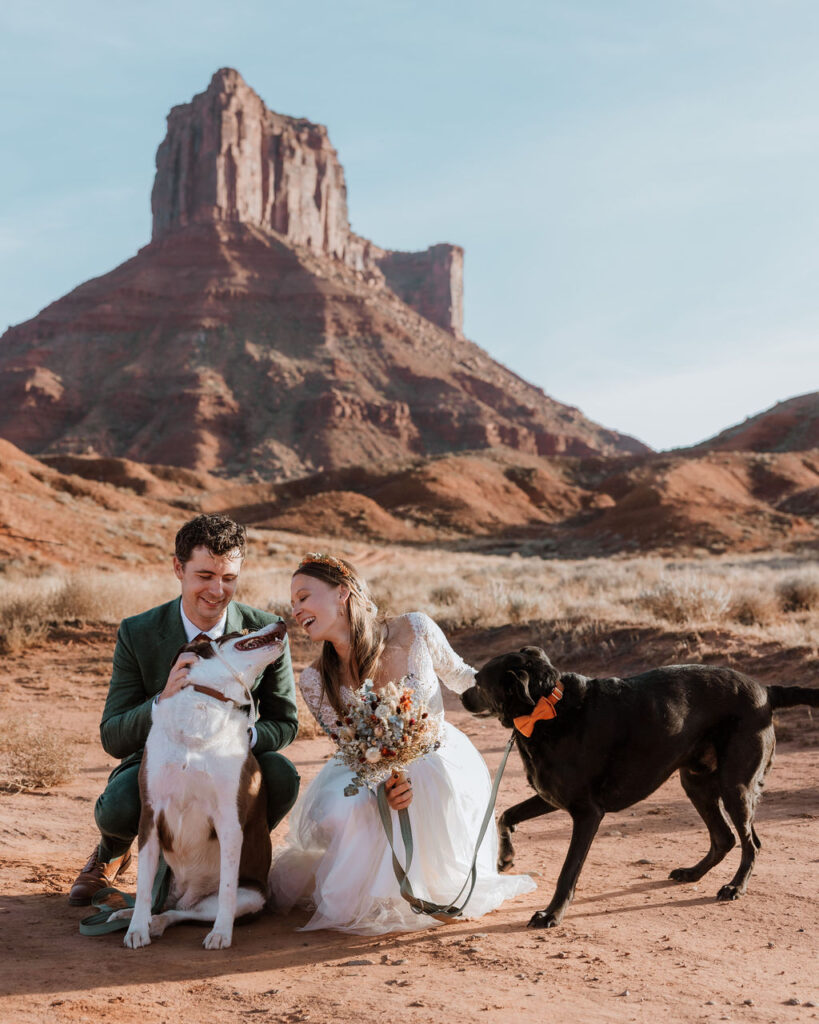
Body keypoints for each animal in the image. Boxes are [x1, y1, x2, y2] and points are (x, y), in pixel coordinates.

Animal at [112, 618, 284, 946]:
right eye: (243, 630)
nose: (282, 621)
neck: (206, 702)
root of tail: (185, 896)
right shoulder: (150, 814)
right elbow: (142, 887)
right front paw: (137, 929)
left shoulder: (229, 820)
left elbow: (227, 889)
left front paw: (221, 934)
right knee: (161, 904)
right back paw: (132, 917)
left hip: (248, 896)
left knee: (180, 913)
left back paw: (163, 922)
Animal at [464, 651, 814, 933]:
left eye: (479, 681)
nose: (464, 695)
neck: (547, 709)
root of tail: (765, 690)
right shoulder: (552, 796)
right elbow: (505, 815)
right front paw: (506, 858)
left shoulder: (587, 813)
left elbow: (567, 872)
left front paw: (552, 914)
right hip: (696, 783)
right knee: (724, 838)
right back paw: (692, 873)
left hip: (734, 787)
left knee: (751, 843)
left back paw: (735, 887)